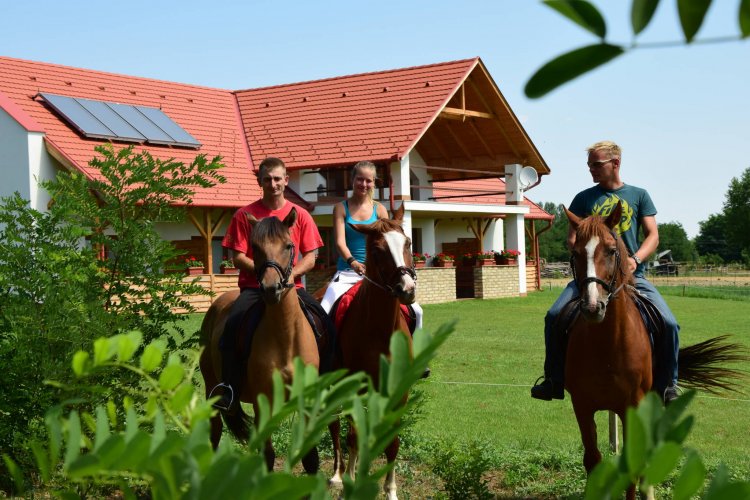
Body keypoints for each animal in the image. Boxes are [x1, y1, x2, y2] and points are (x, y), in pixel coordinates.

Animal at [200, 207, 320, 472]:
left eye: (288, 245)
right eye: (255, 247)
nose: (270, 289)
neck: (286, 336)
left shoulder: (306, 399)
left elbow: (310, 457)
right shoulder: (263, 402)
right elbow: (268, 455)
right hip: (212, 392)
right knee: (214, 434)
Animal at [330, 203, 420, 500]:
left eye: (408, 242)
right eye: (379, 250)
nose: (407, 289)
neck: (381, 329)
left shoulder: (399, 390)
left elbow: (392, 441)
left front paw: (390, 491)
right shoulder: (357, 386)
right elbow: (355, 435)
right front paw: (351, 482)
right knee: (338, 426)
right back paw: (338, 475)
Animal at [568, 201, 748, 498]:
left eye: (612, 250)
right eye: (574, 252)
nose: (593, 306)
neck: (607, 344)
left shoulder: (633, 407)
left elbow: (631, 466)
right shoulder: (582, 405)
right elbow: (593, 460)